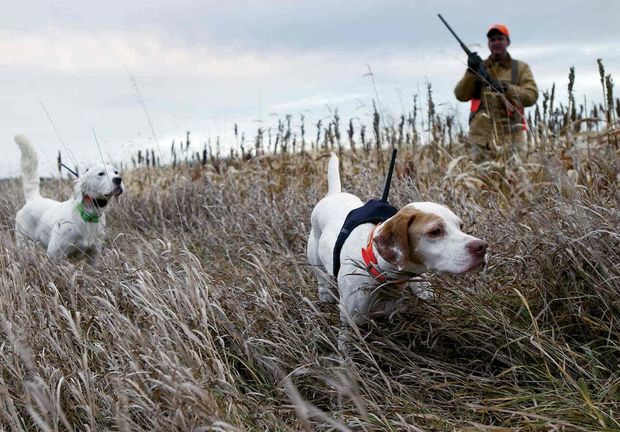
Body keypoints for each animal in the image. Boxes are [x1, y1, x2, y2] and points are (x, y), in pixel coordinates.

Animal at [14, 135, 123, 264]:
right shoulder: (55, 253)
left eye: (116, 172)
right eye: (101, 174)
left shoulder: (94, 255)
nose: (118, 179)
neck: (88, 215)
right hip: (23, 244)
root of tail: (33, 199)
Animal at [308, 154, 486, 326]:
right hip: (316, 264)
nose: (483, 247)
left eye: (460, 226)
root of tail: (334, 194)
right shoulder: (351, 320)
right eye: (435, 231)